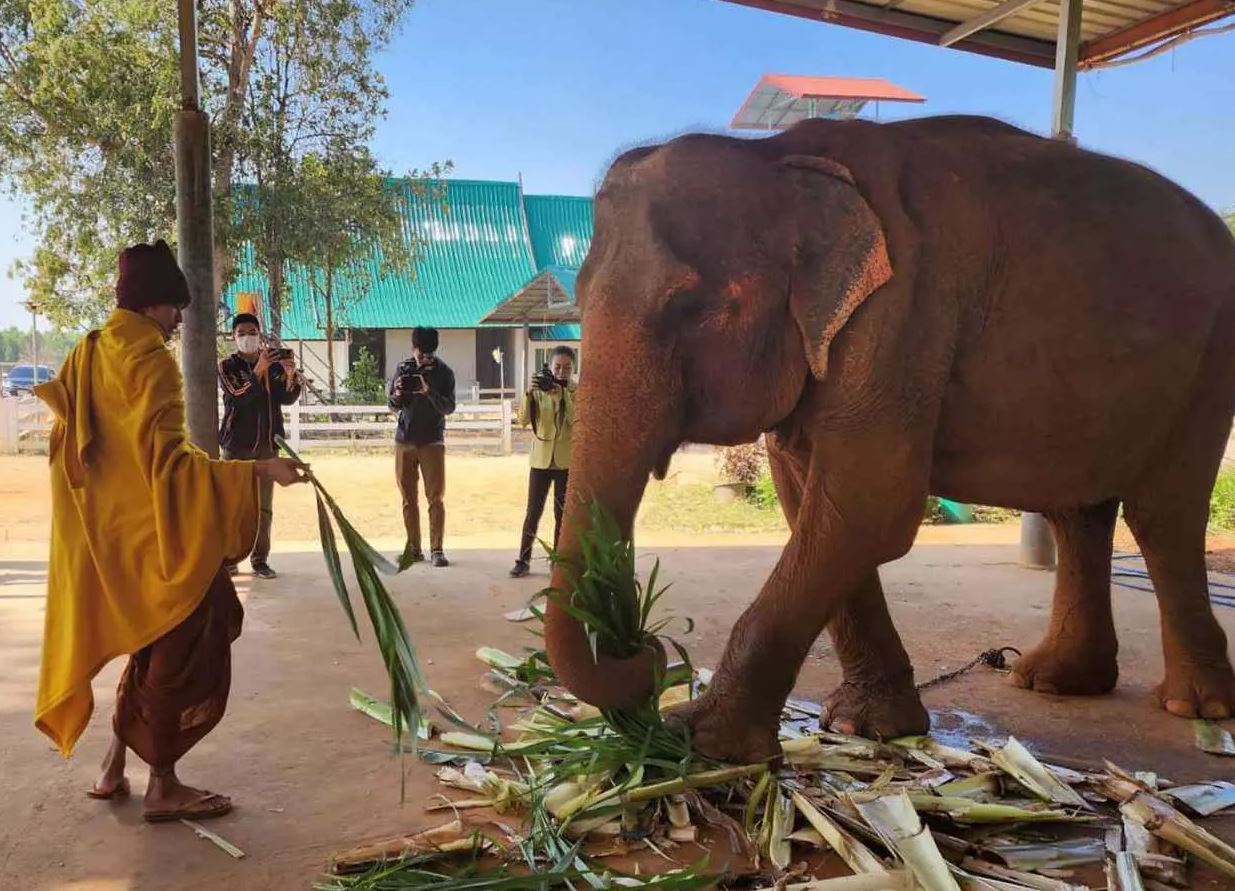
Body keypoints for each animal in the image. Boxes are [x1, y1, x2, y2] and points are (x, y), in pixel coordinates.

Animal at [543, 114, 1235, 761]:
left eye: (689, 307)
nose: (647, 650)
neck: (777, 157)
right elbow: (813, 502)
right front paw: (865, 726)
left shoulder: (903, 315)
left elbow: (867, 506)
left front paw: (698, 741)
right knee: (1079, 511)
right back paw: (1052, 681)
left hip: (1210, 363)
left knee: (1163, 515)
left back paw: (1195, 706)